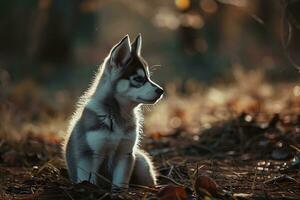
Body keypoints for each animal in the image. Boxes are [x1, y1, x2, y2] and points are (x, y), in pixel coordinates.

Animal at [62, 34, 163, 192]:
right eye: (139, 79)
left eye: (149, 77)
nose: (161, 91)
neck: (117, 115)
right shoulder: (88, 155)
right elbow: (88, 180)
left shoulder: (125, 154)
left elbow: (120, 182)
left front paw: (119, 194)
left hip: (140, 160)